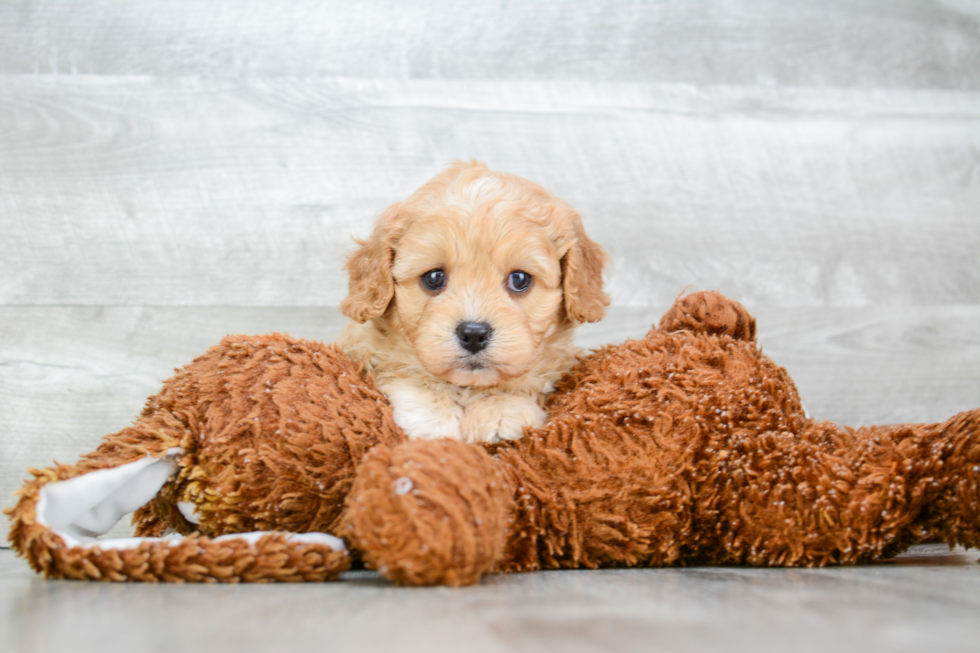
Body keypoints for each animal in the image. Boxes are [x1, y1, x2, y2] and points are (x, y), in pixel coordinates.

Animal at [340, 162, 608, 444]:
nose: (473, 334)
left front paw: (501, 408)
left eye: (520, 279)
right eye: (434, 278)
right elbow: (406, 371)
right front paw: (433, 416)